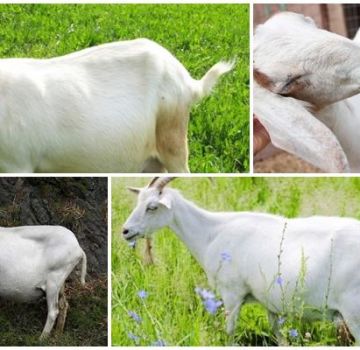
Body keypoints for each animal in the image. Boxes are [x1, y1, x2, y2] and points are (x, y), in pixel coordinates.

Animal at [121, 178, 360, 344]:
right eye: (138, 201)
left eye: (152, 207)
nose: (126, 231)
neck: (211, 233)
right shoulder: (270, 302)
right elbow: (278, 335)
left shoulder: (232, 293)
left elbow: (229, 333)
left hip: (353, 311)